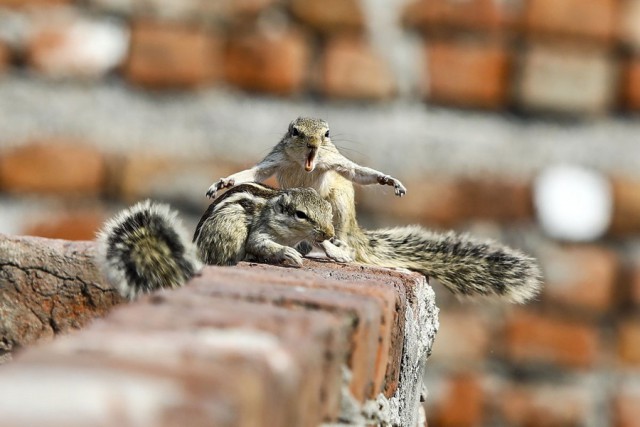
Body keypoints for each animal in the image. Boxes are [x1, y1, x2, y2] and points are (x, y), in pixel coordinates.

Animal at [96, 184, 336, 300]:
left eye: (328, 208)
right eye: (301, 214)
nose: (329, 232)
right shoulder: (261, 230)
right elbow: (258, 243)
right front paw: (288, 253)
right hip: (232, 229)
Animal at [204, 117, 540, 304]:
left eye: (327, 133)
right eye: (294, 131)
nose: (313, 142)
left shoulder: (335, 163)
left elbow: (357, 171)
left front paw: (387, 180)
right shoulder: (276, 160)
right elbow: (254, 174)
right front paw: (223, 182)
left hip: (339, 203)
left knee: (339, 237)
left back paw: (336, 250)